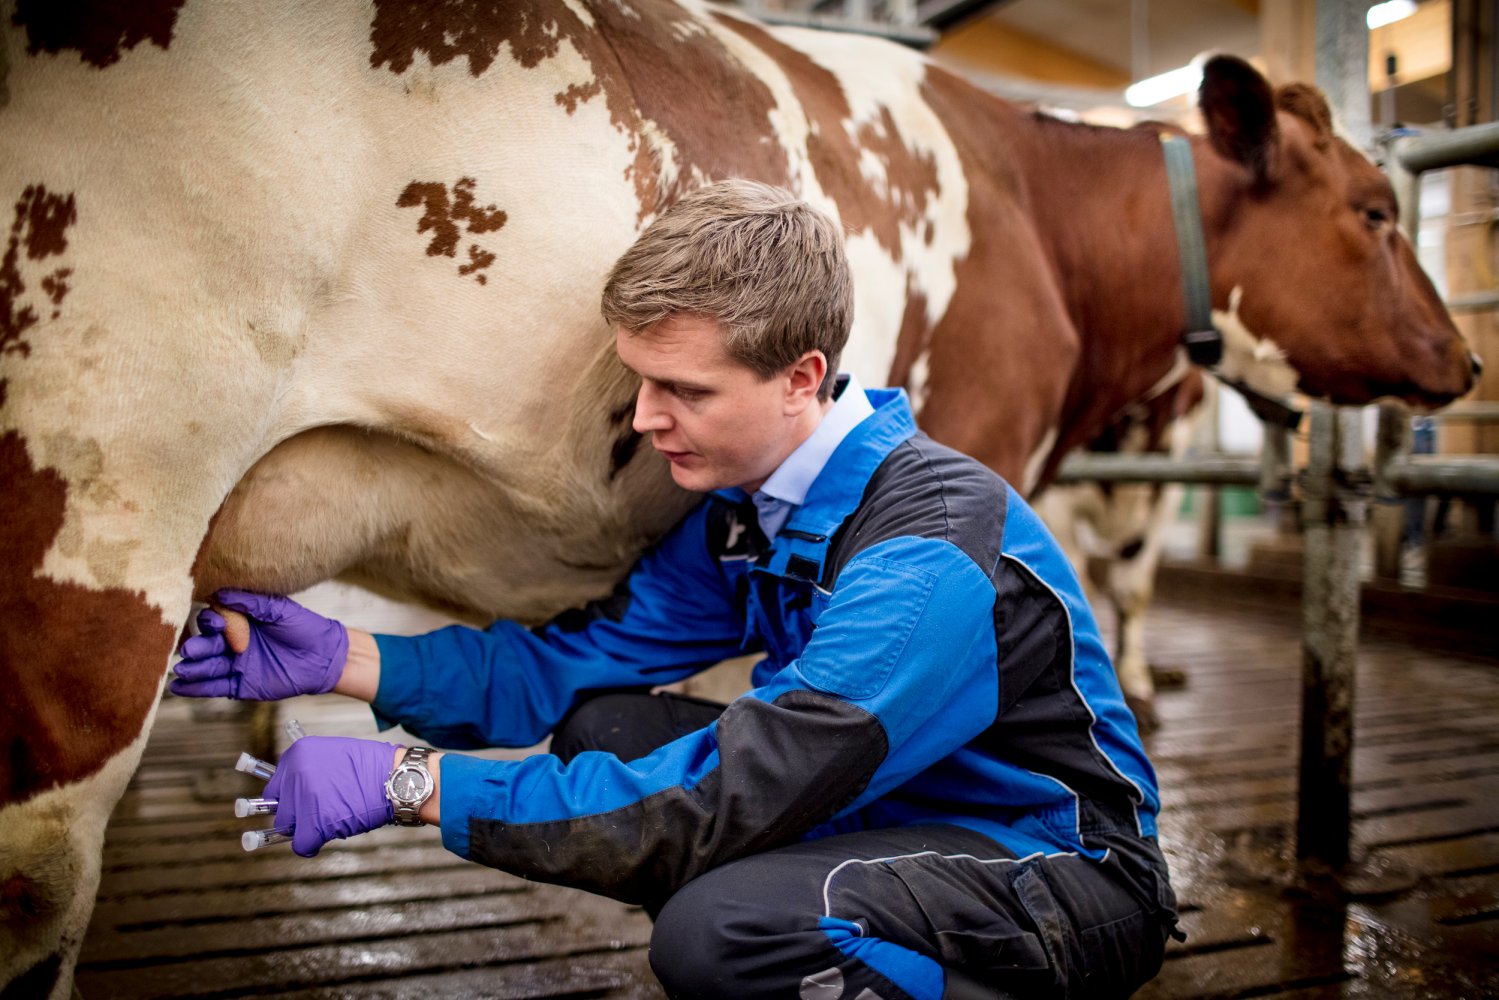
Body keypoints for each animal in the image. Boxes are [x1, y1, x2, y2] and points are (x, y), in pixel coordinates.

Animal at [0, 0, 1475, 995]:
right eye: (1369, 209)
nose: (1460, 362)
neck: (1041, 221)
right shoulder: (986, 430)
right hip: (94, 522)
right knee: (39, 884)